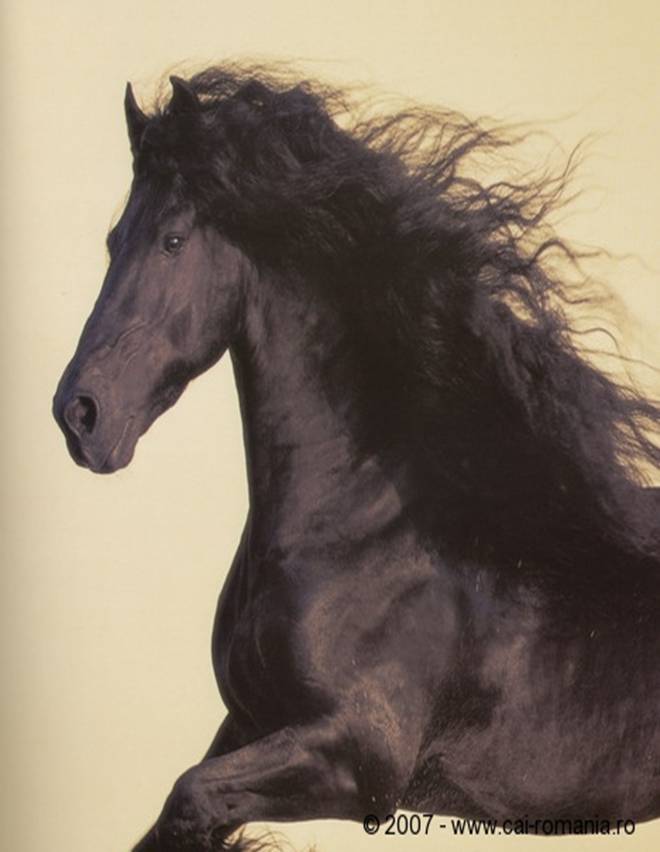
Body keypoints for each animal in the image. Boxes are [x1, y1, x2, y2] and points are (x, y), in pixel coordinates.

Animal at [53, 65, 660, 851]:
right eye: (113, 239)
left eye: (173, 240)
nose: (79, 416)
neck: (361, 524)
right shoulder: (250, 723)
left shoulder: (359, 759)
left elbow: (189, 796)